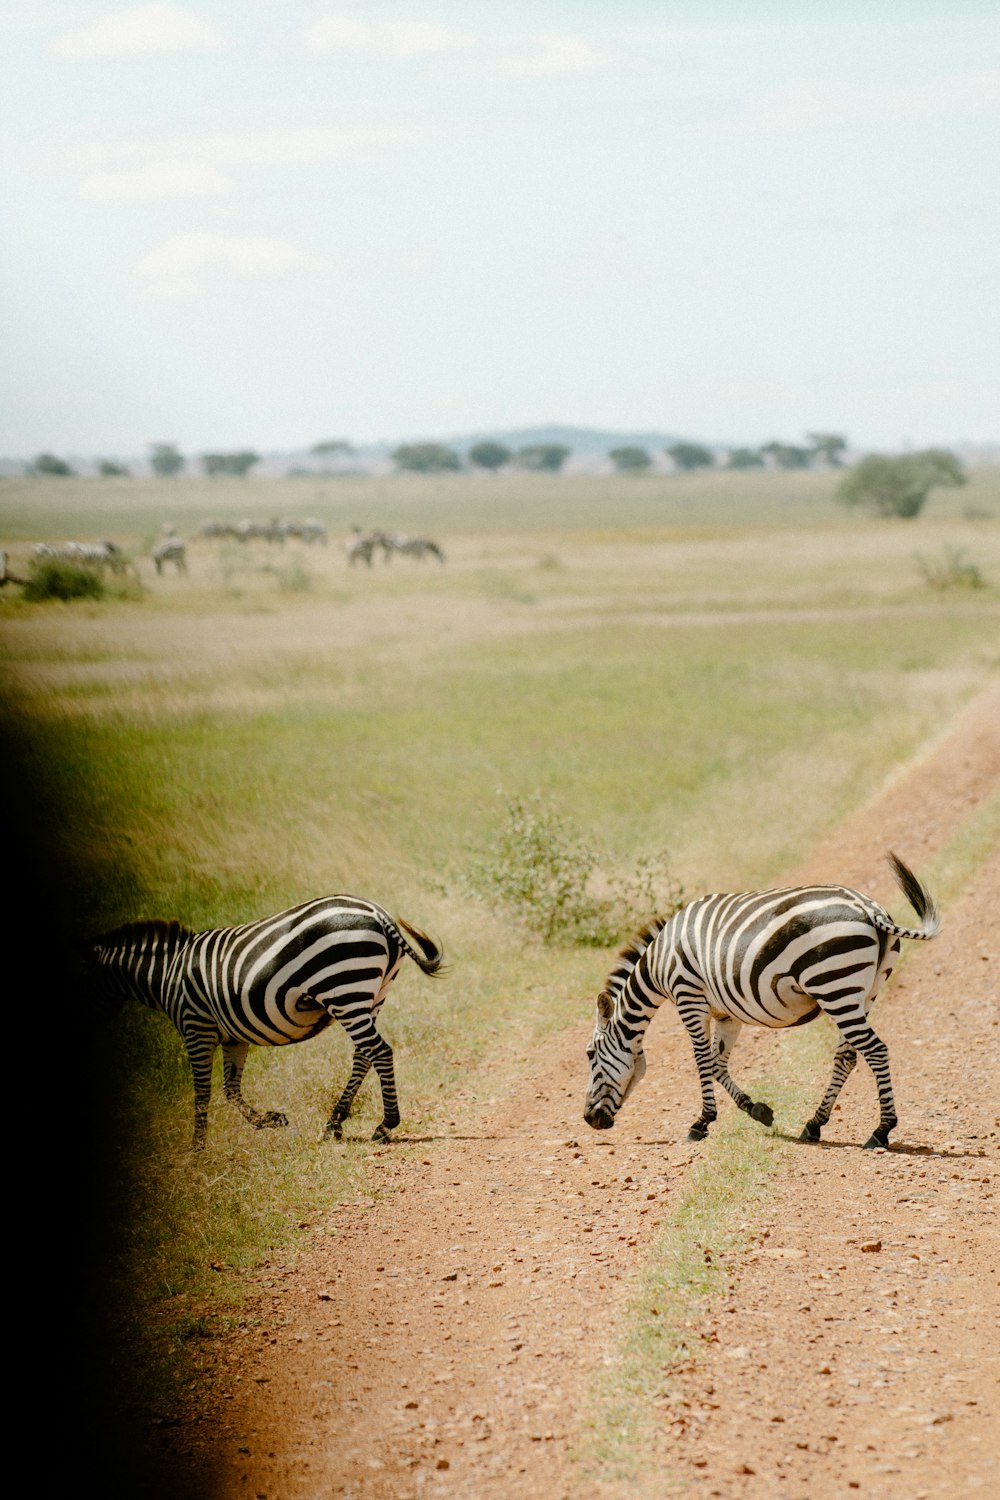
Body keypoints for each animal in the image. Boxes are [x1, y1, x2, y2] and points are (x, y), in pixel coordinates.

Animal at [80, 894, 446, 1152]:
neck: (167, 973)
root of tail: (378, 913)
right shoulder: (233, 1037)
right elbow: (230, 1089)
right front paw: (269, 1120)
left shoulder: (196, 1024)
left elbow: (203, 1091)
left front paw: (196, 1148)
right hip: (371, 994)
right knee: (363, 1055)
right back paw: (334, 1123)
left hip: (344, 988)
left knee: (379, 1051)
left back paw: (385, 1124)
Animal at [581, 858, 941, 1146]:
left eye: (589, 1055)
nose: (589, 1120)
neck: (658, 963)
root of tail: (870, 909)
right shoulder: (726, 1014)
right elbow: (717, 1063)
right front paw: (757, 1110)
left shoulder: (688, 997)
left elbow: (702, 1061)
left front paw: (701, 1123)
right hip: (863, 993)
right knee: (847, 1056)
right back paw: (814, 1124)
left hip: (834, 985)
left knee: (876, 1050)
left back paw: (881, 1130)